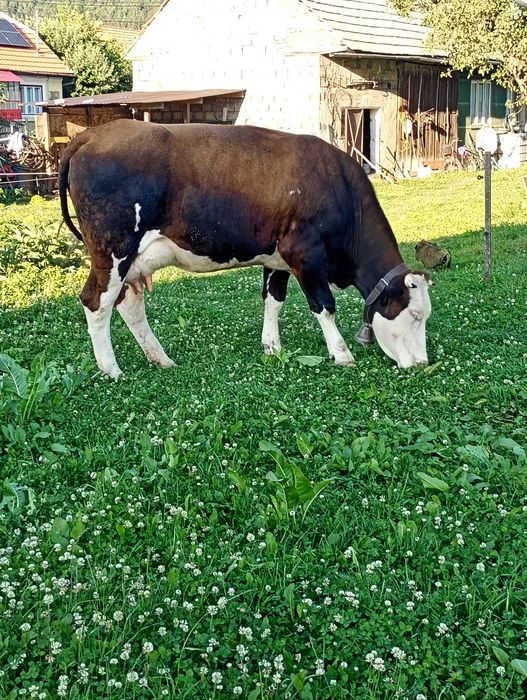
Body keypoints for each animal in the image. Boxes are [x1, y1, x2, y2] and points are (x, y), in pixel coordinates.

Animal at [58, 119, 432, 379]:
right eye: (415, 315)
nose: (423, 364)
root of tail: (94, 134)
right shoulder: (305, 253)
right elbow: (324, 305)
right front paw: (341, 354)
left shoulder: (278, 258)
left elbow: (273, 300)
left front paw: (272, 347)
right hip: (113, 250)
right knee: (96, 301)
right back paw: (111, 369)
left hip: (131, 260)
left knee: (128, 304)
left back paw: (160, 358)